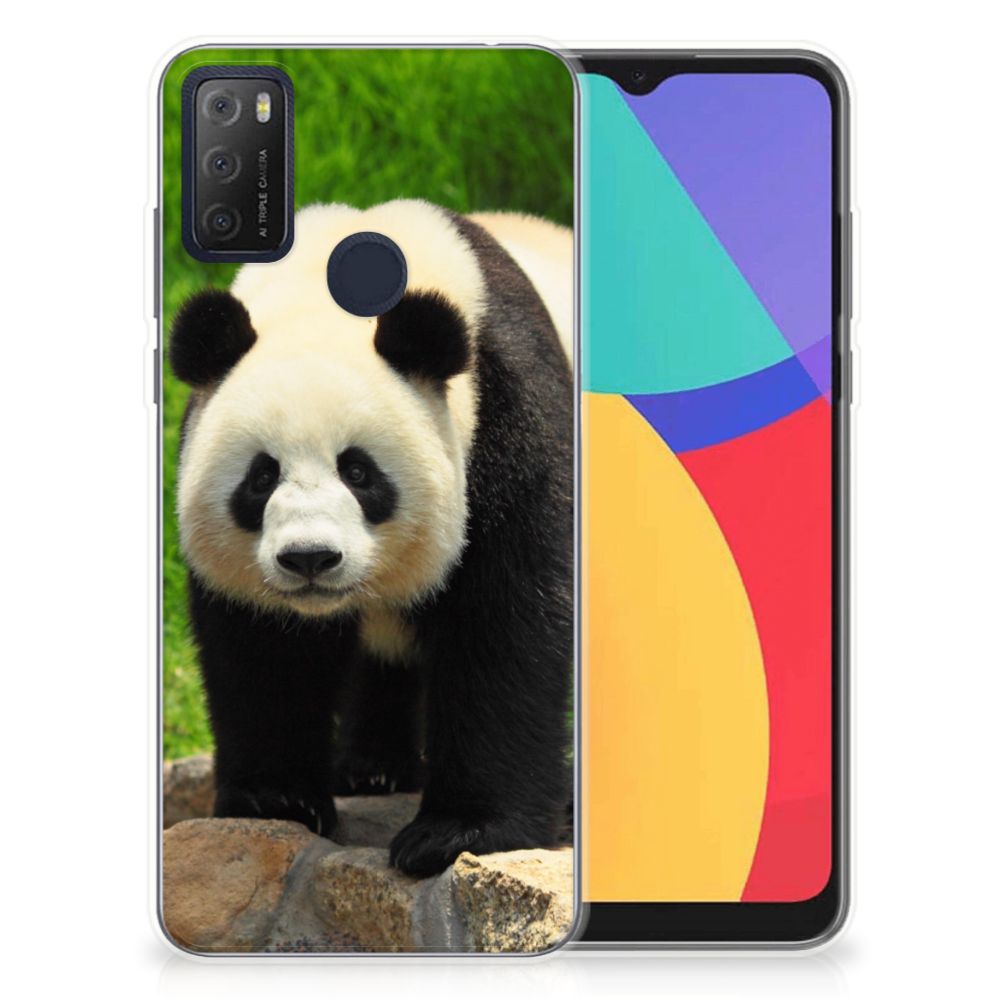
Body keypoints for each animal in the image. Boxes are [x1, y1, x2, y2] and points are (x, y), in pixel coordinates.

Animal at [169, 199, 573, 877]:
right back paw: (372, 769)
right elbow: (263, 649)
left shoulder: (509, 418)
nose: (309, 558)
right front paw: (277, 799)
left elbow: (508, 621)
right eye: (261, 476)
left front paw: (457, 832)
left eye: (358, 472)